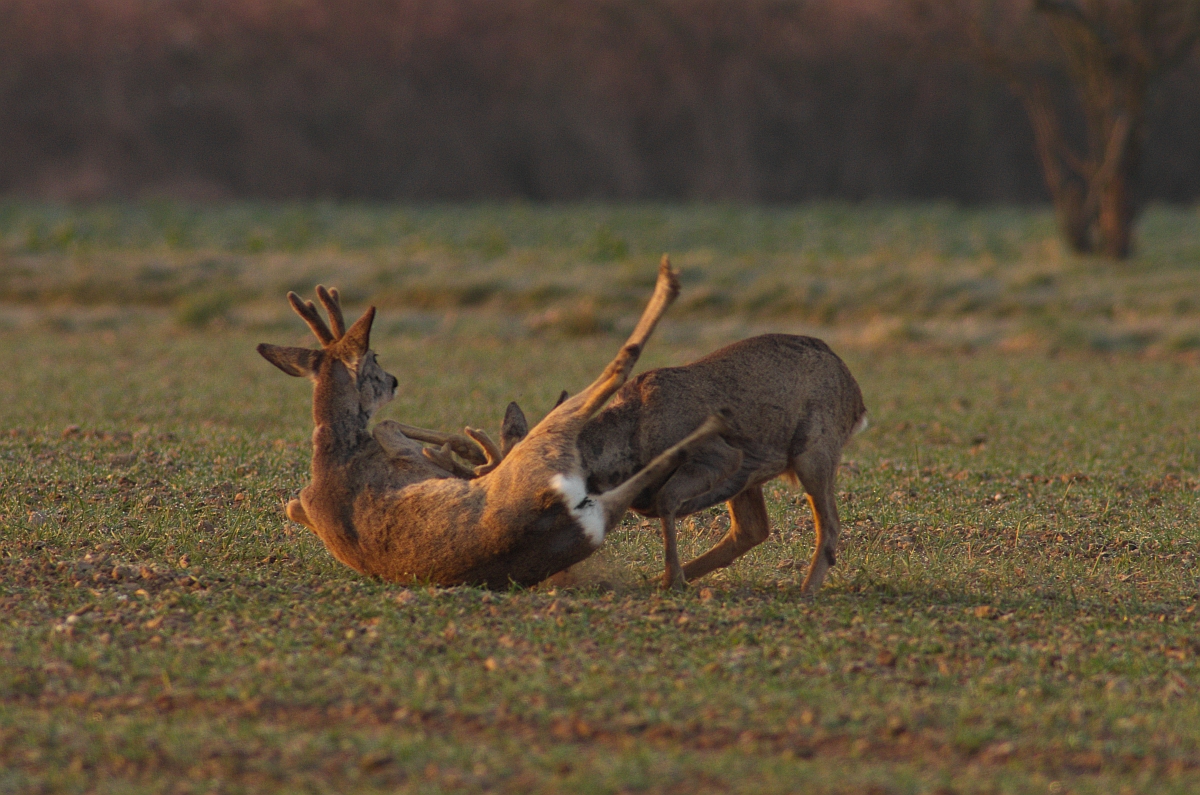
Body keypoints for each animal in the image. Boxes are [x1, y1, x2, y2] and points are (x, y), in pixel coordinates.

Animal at [254, 258, 724, 588]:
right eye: (375, 357)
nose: (394, 380)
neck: (333, 449)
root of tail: (559, 510)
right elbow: (387, 425)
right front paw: (463, 449)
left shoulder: (304, 502)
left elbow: (296, 501)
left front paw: (463, 449)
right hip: (546, 442)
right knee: (618, 367)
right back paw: (669, 286)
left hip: (591, 499)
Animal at [477, 333, 864, 595]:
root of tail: (856, 397)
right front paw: (669, 578)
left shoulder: (719, 453)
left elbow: (666, 500)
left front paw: (671, 579)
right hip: (761, 475)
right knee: (752, 528)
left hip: (814, 450)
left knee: (828, 523)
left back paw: (807, 590)